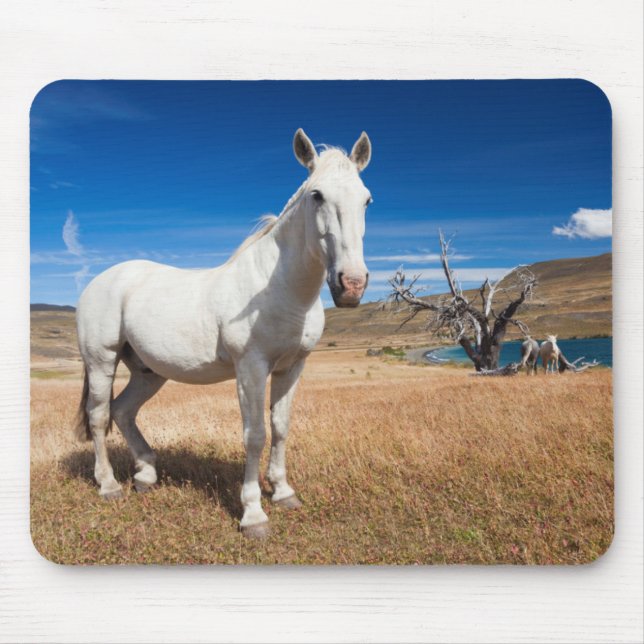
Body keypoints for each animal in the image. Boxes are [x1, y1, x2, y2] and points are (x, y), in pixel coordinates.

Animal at [75, 128, 373, 538]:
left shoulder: (292, 367)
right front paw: (254, 515)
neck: (279, 289)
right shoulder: (251, 368)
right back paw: (108, 485)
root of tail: (100, 280)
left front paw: (283, 493)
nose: (351, 286)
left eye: (367, 199)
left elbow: (280, 427)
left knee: (124, 410)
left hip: (149, 372)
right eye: (317, 195)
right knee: (100, 416)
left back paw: (146, 475)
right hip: (101, 360)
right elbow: (255, 434)